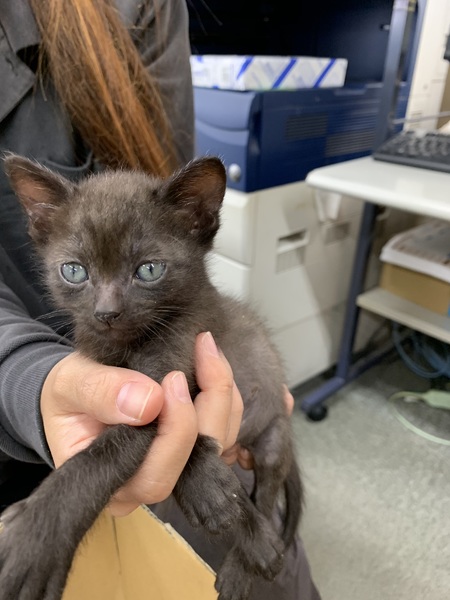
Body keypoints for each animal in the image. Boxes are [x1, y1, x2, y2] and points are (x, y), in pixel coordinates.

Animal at [0, 155, 303, 600]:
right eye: (74, 271)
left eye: (148, 270)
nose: (106, 313)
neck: (126, 349)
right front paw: (212, 491)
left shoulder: (170, 370)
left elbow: (97, 459)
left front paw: (32, 542)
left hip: (272, 434)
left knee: (265, 496)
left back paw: (243, 565)